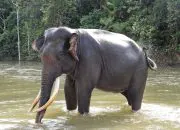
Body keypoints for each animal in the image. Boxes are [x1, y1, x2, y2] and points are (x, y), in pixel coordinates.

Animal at [28, 26, 157, 123]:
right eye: (41, 56)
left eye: (59, 57)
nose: (39, 123)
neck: (73, 32)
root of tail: (145, 55)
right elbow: (68, 89)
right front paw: (70, 113)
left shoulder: (89, 59)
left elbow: (83, 90)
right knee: (129, 96)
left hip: (140, 72)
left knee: (135, 96)